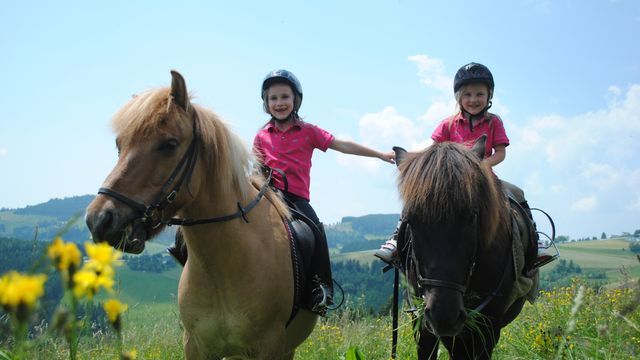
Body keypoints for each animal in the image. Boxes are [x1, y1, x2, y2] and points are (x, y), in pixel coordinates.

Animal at [84, 71, 318, 360]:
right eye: (120, 145)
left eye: (169, 144)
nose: (99, 220)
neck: (221, 267)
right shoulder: (196, 346)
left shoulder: (270, 346)